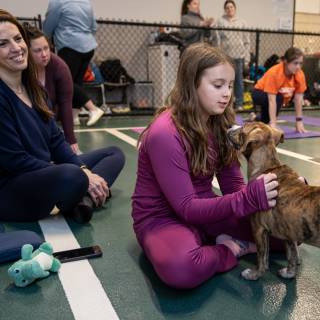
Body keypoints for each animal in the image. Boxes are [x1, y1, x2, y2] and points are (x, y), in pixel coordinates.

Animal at [228, 122, 320, 280]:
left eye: (243, 126)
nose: (230, 126)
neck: (268, 166)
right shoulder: (289, 232)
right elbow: (292, 255)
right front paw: (290, 273)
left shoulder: (258, 229)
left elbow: (262, 257)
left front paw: (254, 274)